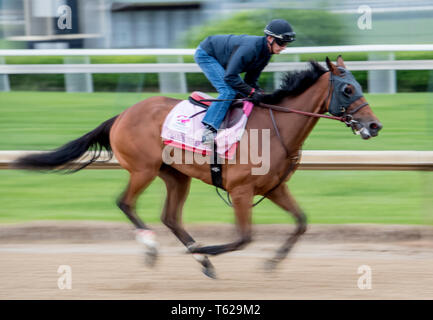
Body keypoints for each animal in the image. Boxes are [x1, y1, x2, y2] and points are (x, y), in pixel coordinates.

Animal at [12, 57, 382, 278]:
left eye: (360, 86)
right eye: (348, 88)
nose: (375, 126)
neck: (276, 128)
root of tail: (122, 115)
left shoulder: (274, 187)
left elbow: (302, 222)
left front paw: (271, 261)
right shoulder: (241, 190)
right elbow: (244, 237)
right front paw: (206, 248)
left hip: (176, 176)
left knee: (170, 217)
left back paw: (200, 258)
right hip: (143, 169)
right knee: (126, 203)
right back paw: (156, 249)